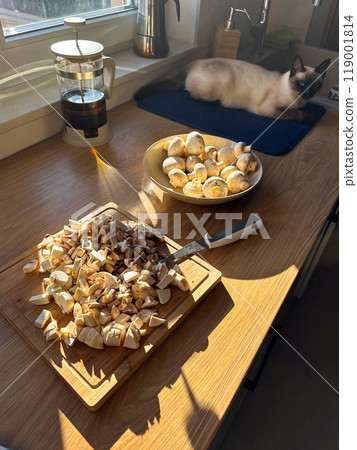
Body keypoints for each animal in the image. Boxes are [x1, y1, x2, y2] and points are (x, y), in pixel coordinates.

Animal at [185, 55, 330, 122]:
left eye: (315, 85)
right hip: (218, 86)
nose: (308, 93)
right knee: (192, 95)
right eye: (302, 84)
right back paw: (215, 103)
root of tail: (195, 62)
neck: (298, 99)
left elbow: (298, 110)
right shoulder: (271, 109)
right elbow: (296, 113)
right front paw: (310, 117)